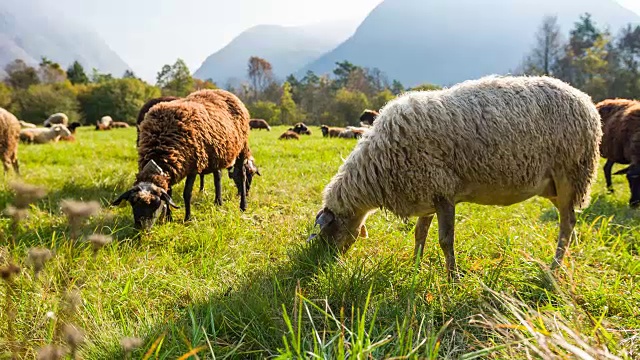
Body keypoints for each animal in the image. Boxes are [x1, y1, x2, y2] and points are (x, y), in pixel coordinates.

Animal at [112, 90, 255, 231]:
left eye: (155, 203)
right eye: (132, 203)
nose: (140, 228)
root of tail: (225, 92)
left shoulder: (193, 166)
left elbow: (187, 193)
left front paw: (188, 218)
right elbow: (168, 193)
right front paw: (169, 218)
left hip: (242, 147)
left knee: (241, 175)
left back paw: (243, 205)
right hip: (217, 155)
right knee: (217, 177)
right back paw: (218, 202)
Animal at [310, 76, 604, 278]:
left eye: (328, 232)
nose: (326, 265)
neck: (377, 166)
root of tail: (586, 100)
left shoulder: (443, 192)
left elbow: (445, 240)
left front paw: (453, 278)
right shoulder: (426, 191)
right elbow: (419, 234)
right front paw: (415, 267)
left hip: (570, 173)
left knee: (567, 224)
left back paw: (553, 270)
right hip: (553, 185)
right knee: (568, 220)